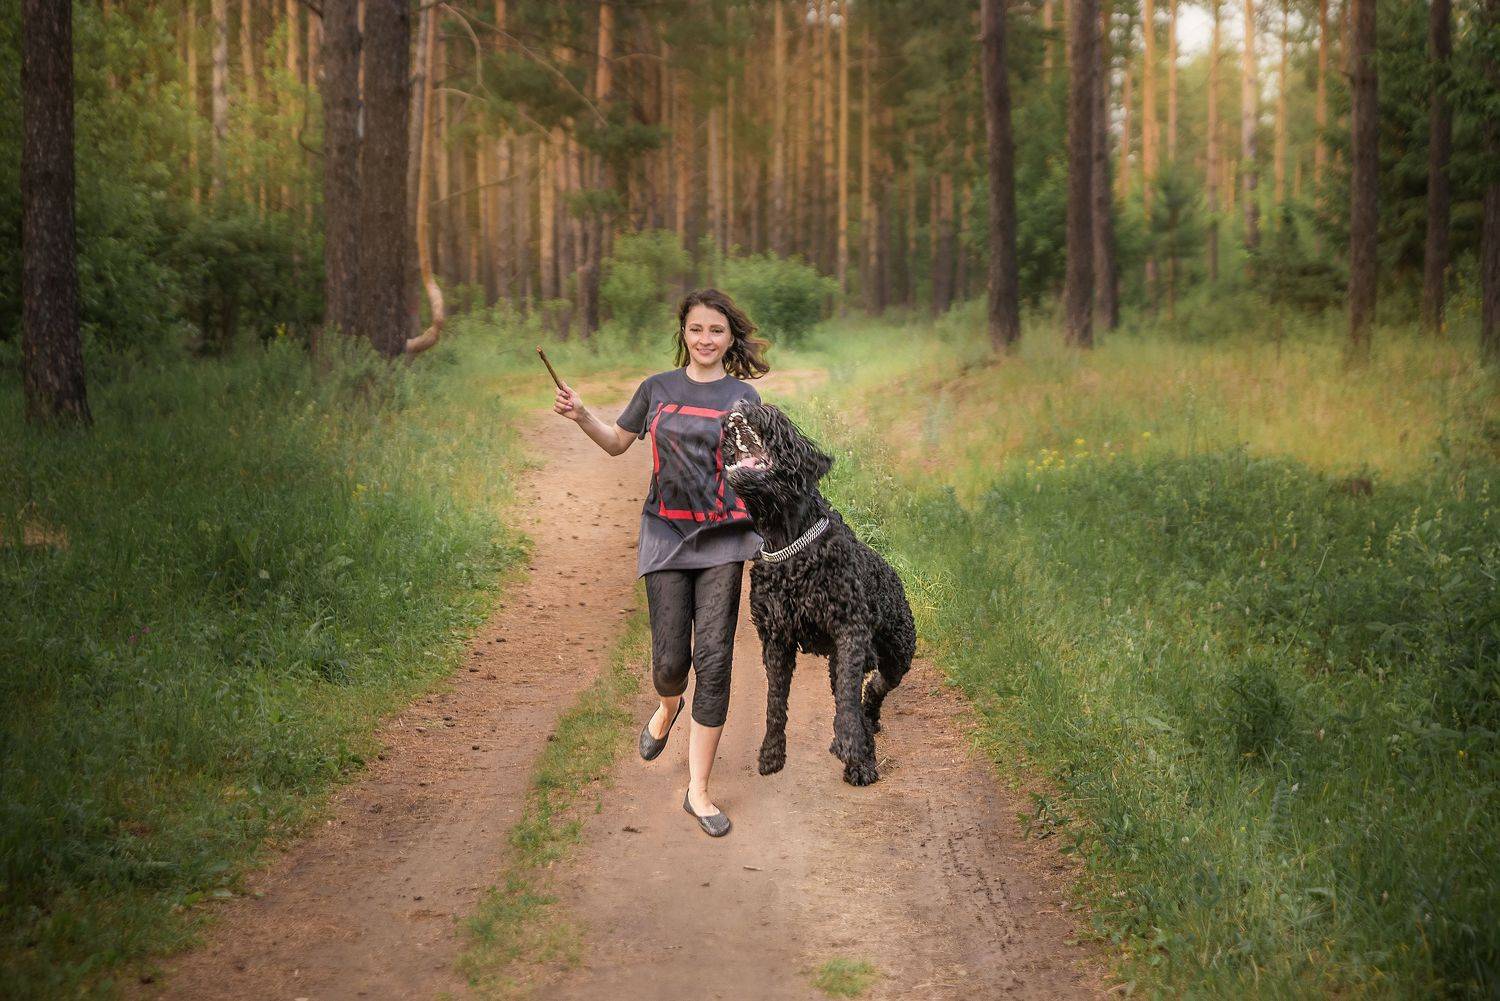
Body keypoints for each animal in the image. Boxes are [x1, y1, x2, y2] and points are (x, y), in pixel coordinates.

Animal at [721, 402, 916, 786]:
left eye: (777, 416)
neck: (789, 547)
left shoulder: (850, 632)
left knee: (872, 687)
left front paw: (853, 750)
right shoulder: (776, 641)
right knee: (861, 691)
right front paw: (772, 753)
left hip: (896, 657)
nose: (740, 403)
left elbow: (846, 703)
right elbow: (775, 703)